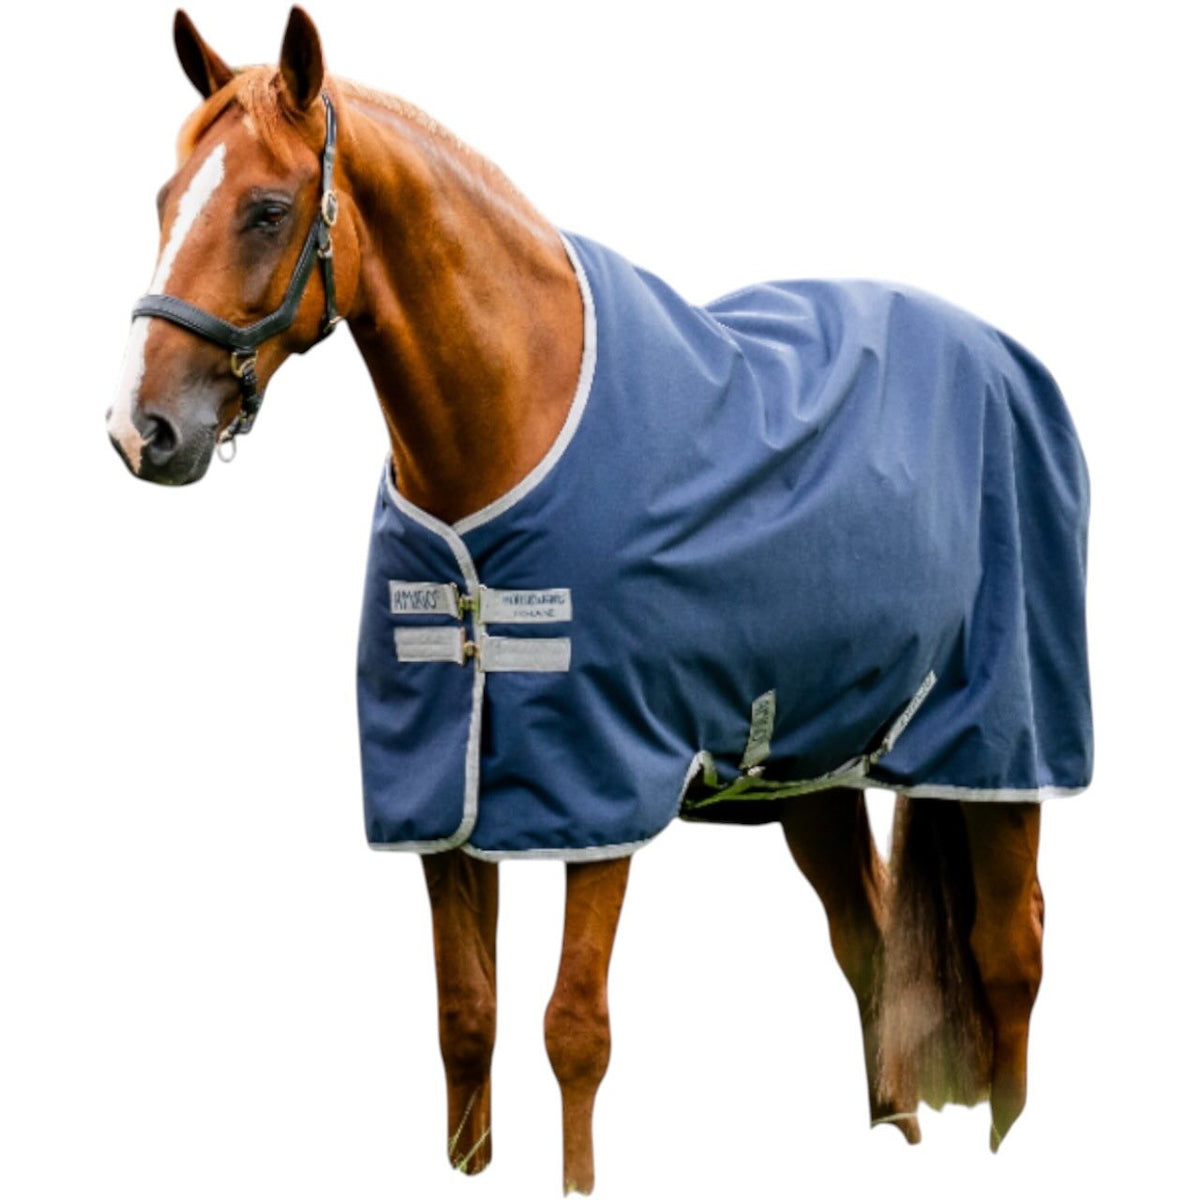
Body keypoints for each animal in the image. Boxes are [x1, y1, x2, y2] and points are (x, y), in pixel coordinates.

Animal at [107, 9, 1091, 1194]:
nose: (142, 430)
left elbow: (574, 1030)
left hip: (999, 748)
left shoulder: (601, 784)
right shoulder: (444, 801)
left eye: (263, 208)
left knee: (1010, 953)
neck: (511, 425)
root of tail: (1005, 358)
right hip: (811, 766)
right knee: (867, 941)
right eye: (166, 200)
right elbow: (466, 1019)